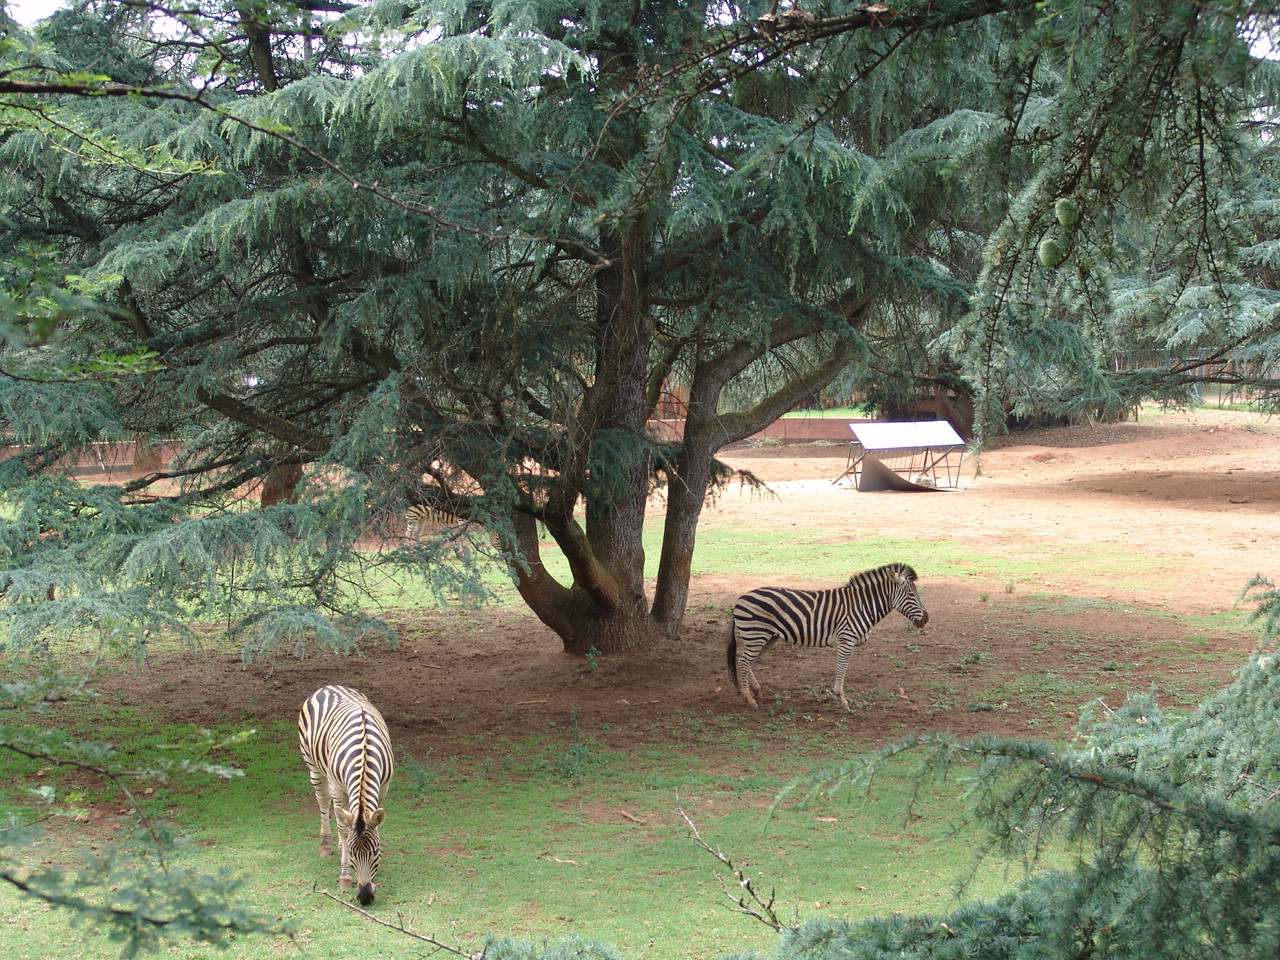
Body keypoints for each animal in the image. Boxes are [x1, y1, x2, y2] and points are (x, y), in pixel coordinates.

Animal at [298, 684, 394, 906]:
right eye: (353, 853)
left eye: (375, 851)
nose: (365, 897)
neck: (364, 755)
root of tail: (329, 686)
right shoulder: (336, 786)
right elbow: (342, 828)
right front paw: (345, 875)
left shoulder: (383, 788)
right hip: (314, 767)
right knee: (324, 802)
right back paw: (325, 845)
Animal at [727, 563, 929, 710]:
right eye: (911, 593)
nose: (926, 619)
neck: (862, 606)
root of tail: (740, 598)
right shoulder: (846, 640)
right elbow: (842, 669)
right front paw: (841, 698)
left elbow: (841, 668)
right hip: (756, 635)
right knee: (743, 661)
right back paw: (749, 698)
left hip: (767, 637)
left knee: (746, 661)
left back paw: (756, 691)